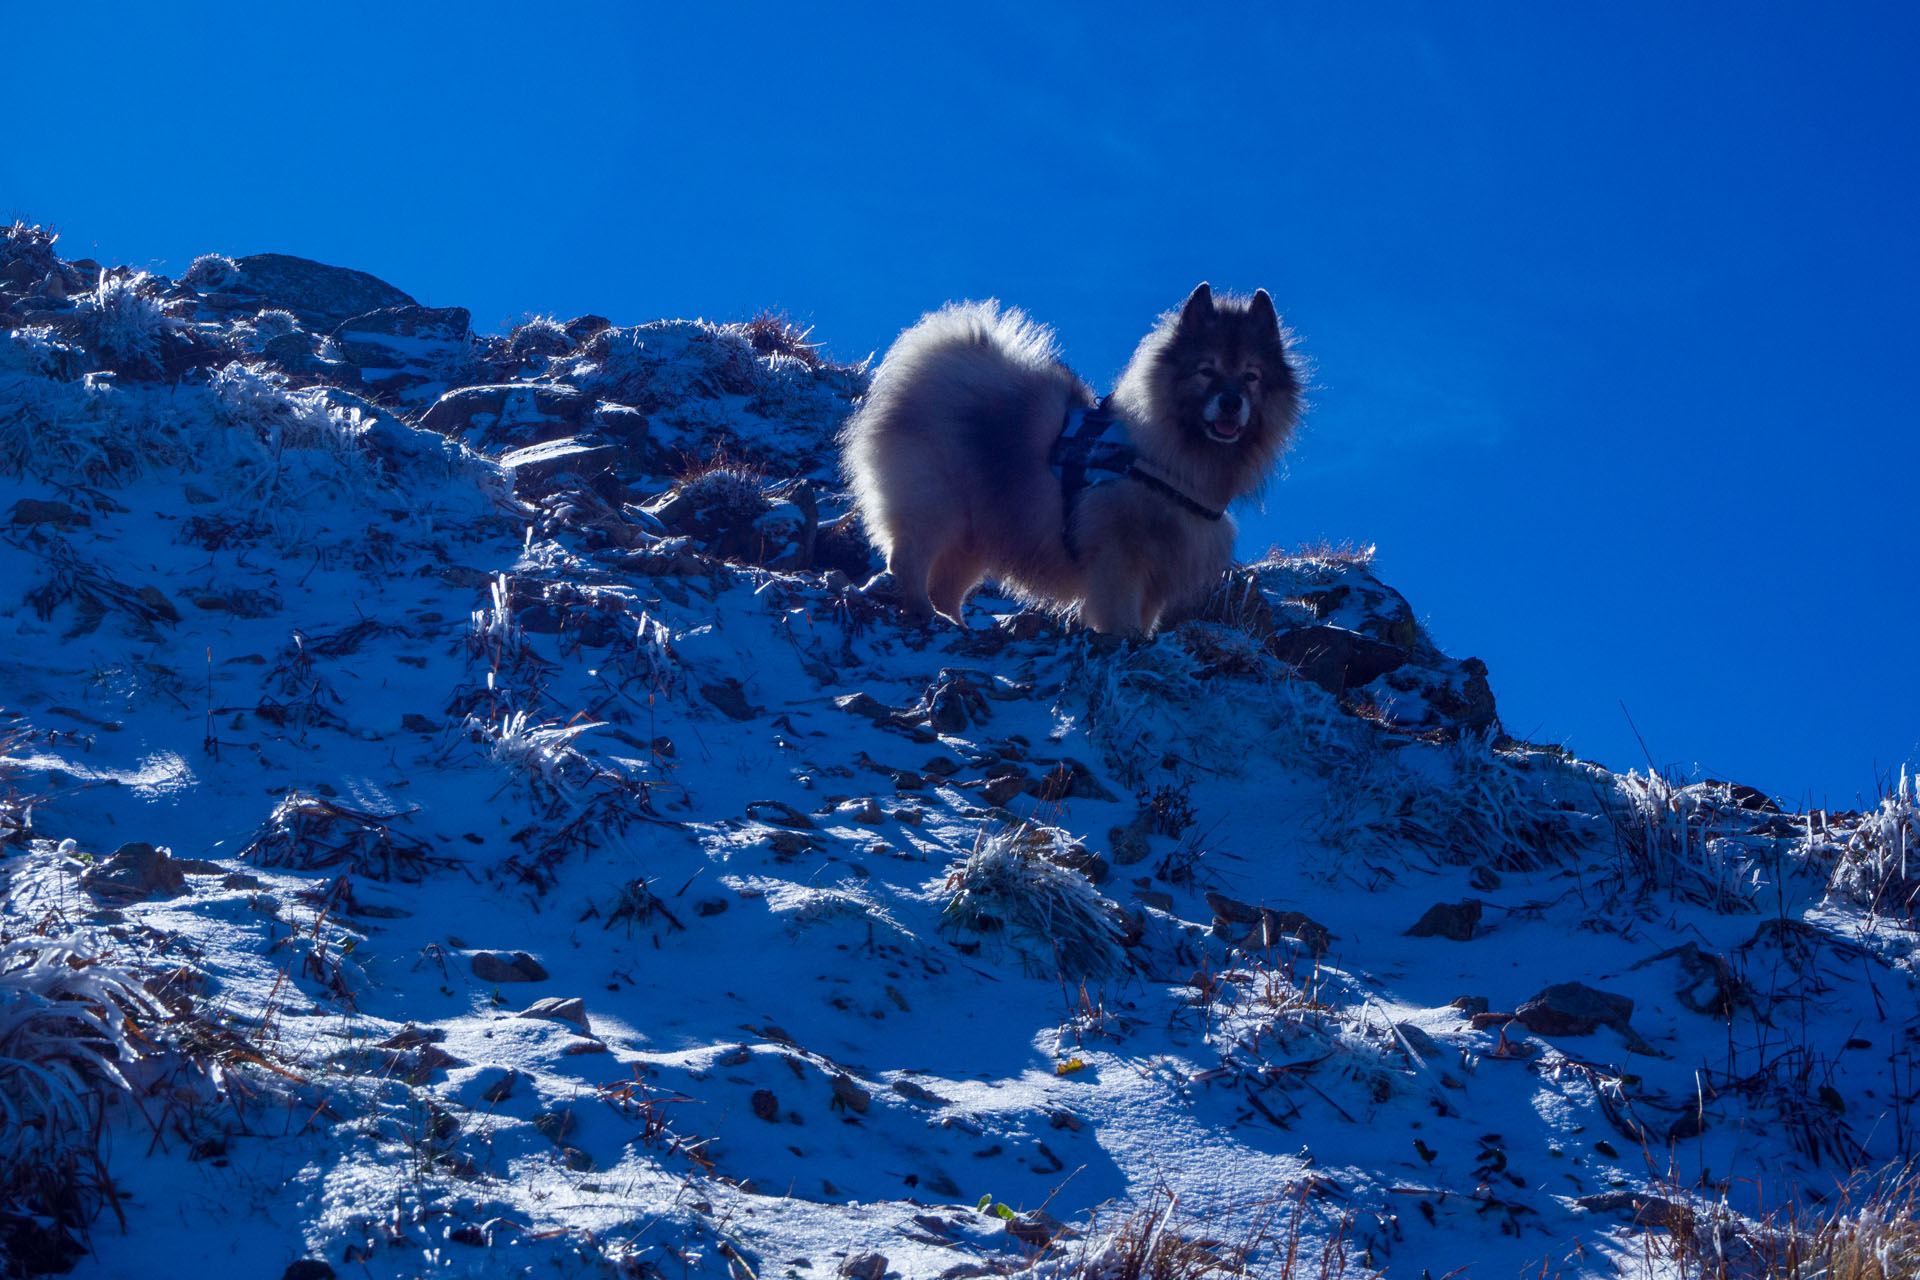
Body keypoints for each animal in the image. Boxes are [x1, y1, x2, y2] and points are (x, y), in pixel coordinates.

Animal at [844, 284, 1305, 637]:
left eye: (1251, 376)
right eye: (1206, 371)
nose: (1231, 402)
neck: (1169, 460)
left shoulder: (1156, 582)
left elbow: (1144, 624)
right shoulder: (1118, 564)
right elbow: (1122, 622)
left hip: (975, 536)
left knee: (946, 587)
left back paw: (956, 625)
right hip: (938, 506)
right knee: (907, 561)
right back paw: (925, 614)